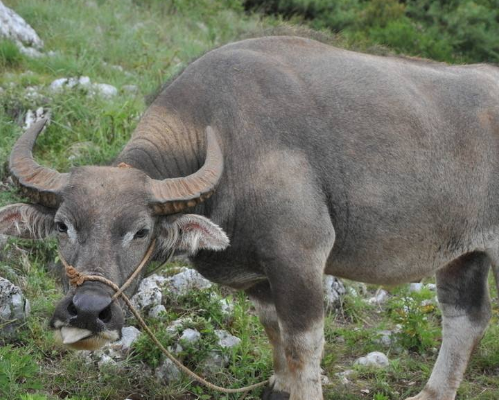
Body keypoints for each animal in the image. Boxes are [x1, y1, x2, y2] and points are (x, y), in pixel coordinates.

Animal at [0, 36, 499, 398]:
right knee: (465, 318)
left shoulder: (300, 259)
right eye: (63, 225)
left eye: (140, 232)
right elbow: (274, 331)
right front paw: (278, 387)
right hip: (463, 255)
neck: (227, 145)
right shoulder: (259, 277)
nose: (88, 311)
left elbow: (303, 346)